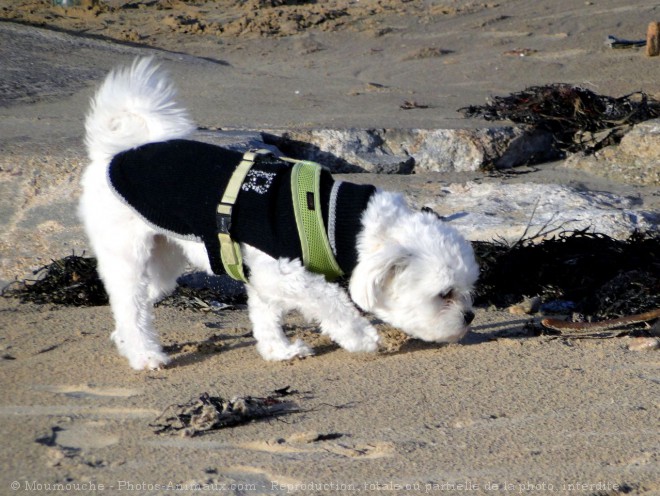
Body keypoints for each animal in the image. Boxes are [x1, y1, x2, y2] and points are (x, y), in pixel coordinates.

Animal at [78, 57, 480, 368]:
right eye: (443, 294)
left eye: (465, 290)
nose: (470, 316)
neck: (336, 219)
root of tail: (114, 153)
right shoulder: (282, 270)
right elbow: (329, 299)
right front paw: (359, 336)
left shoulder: (260, 275)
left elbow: (266, 315)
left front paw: (278, 350)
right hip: (127, 256)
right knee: (130, 306)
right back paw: (145, 355)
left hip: (163, 263)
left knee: (136, 304)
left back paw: (127, 343)